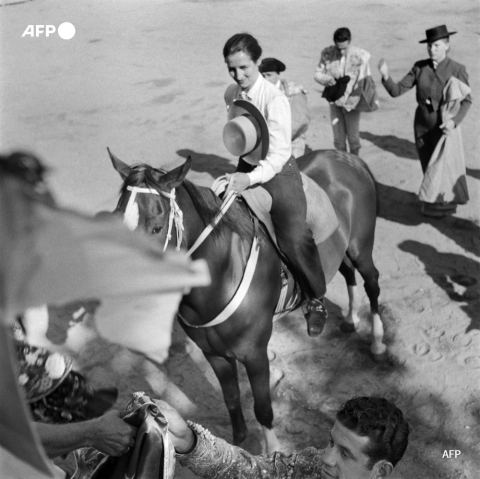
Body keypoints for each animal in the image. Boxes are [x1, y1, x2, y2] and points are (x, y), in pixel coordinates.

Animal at [109, 150, 386, 454]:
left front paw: (273, 452)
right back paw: (349, 319)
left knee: (371, 282)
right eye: (115, 219)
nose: (124, 284)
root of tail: (345, 156)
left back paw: (377, 343)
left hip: (361, 246)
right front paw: (235, 445)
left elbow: (263, 408)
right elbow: (231, 399)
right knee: (347, 273)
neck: (222, 273)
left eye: (157, 228)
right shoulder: (213, 353)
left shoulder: (254, 354)